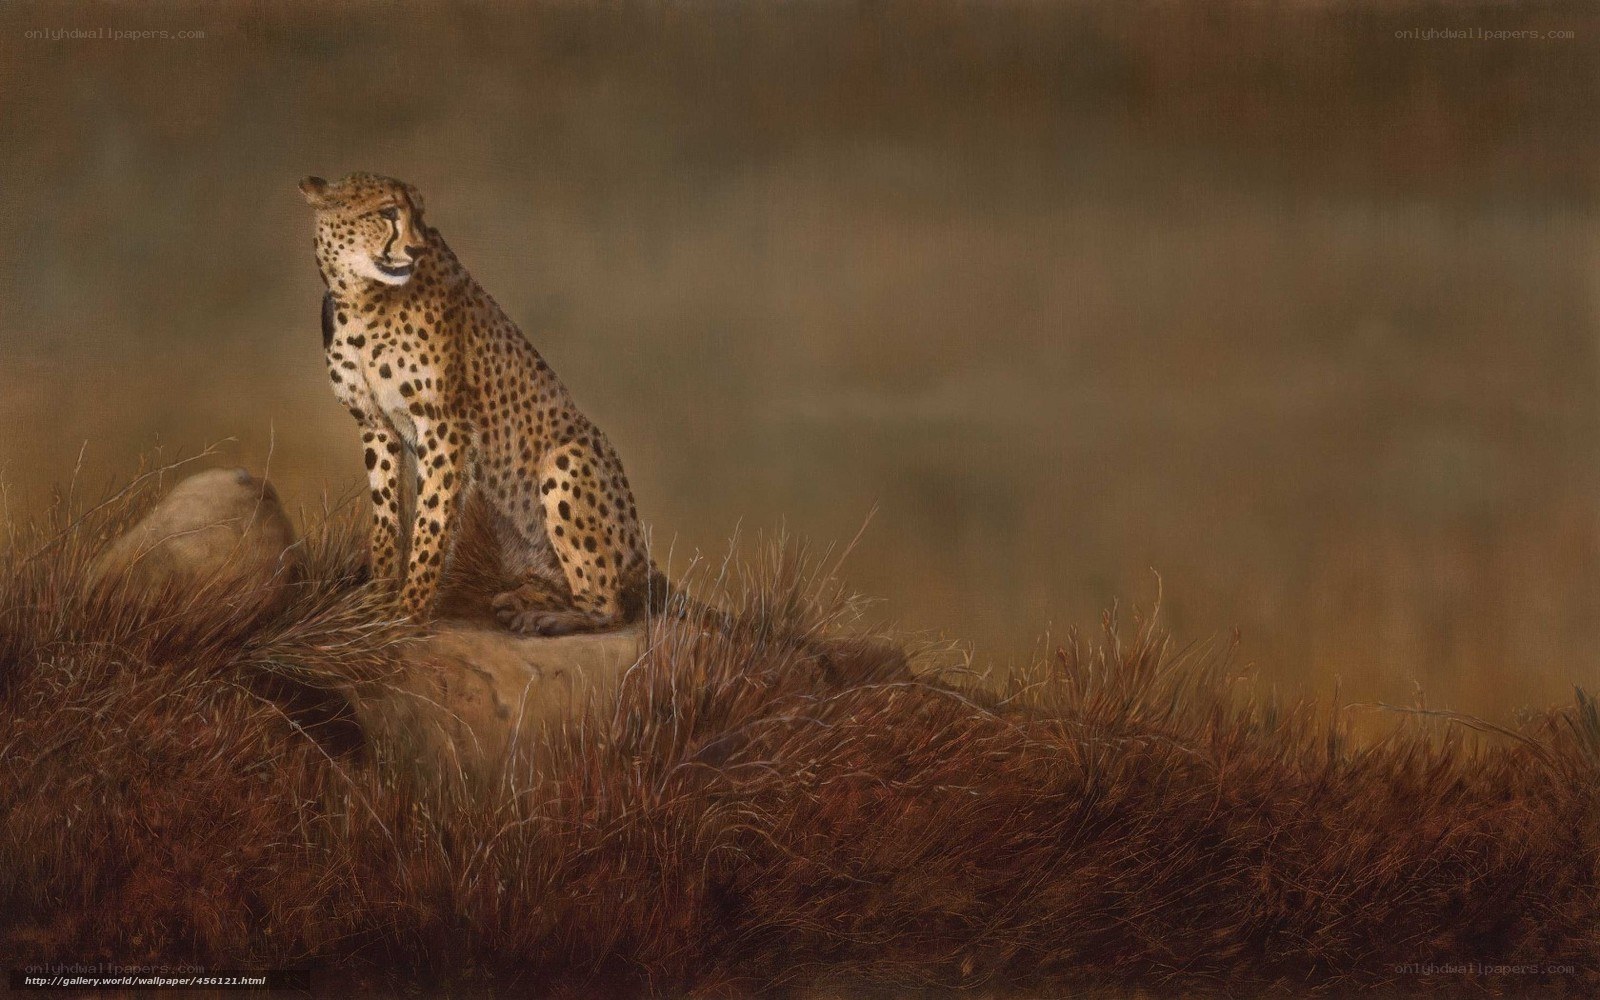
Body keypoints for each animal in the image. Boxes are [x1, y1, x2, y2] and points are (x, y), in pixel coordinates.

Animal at [300, 171, 656, 636]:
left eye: (419, 214)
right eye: (388, 211)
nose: (416, 249)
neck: (362, 298)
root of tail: (642, 560)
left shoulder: (444, 426)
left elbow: (431, 521)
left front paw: (408, 610)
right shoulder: (375, 425)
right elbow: (386, 516)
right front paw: (376, 598)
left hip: (567, 460)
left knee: (608, 605)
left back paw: (546, 617)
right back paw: (520, 597)